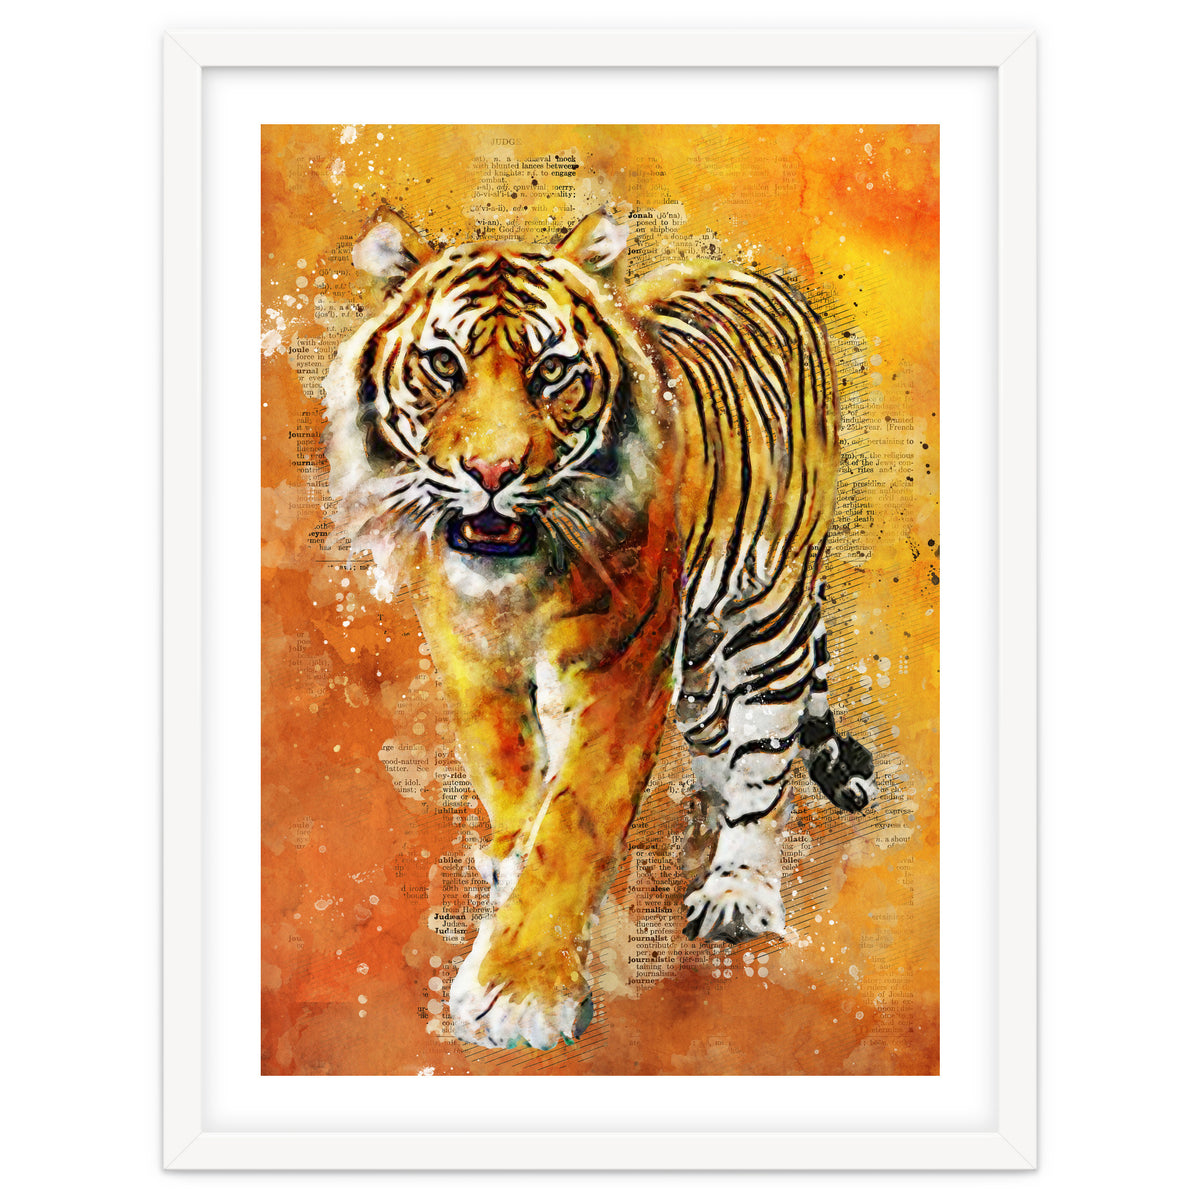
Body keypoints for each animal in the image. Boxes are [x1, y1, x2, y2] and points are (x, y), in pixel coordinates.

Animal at [322, 202, 876, 1051]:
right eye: (444, 365)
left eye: (551, 371)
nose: (492, 473)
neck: (517, 583)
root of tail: (756, 271)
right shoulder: (470, 651)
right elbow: (510, 771)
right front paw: (510, 859)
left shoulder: (621, 668)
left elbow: (575, 821)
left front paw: (521, 990)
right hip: (701, 647)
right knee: (714, 729)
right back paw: (705, 815)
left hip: (768, 608)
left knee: (765, 752)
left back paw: (738, 887)